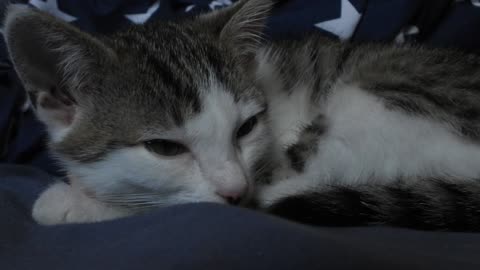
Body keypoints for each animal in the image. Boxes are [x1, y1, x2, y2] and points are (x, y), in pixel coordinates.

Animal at [5, 0, 480, 232]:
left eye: (247, 127)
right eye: (164, 148)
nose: (234, 187)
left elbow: (182, 207)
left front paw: (76, 202)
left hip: (373, 100)